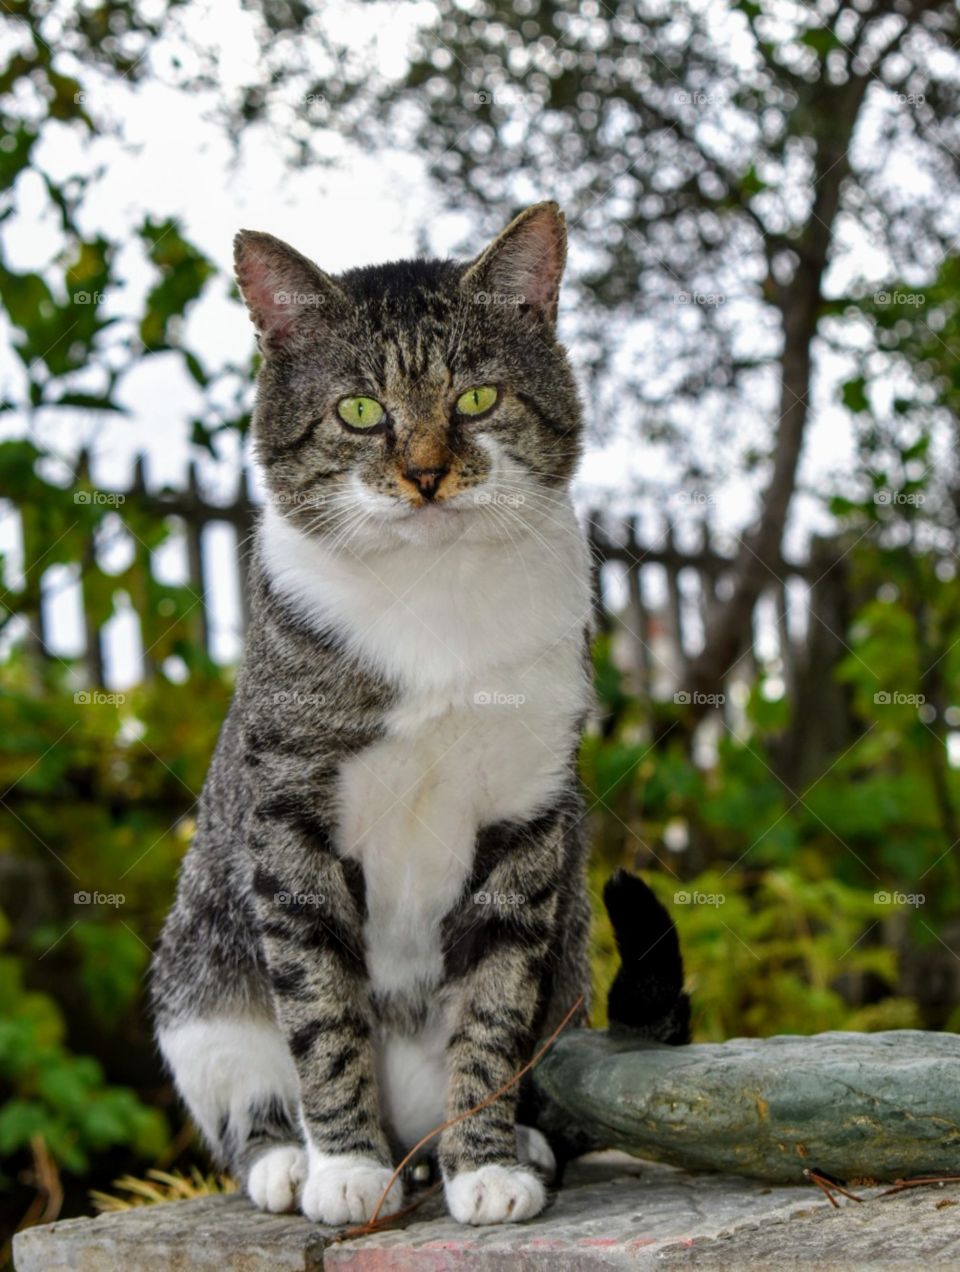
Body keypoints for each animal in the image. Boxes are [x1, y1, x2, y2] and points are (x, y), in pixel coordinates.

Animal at [151, 203, 691, 1226]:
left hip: (568, 963)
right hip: (197, 991)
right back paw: (292, 1159)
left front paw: (483, 1162)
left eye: (477, 398)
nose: (427, 473)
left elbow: (491, 1006)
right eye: (361, 410)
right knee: (244, 1092)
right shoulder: (288, 816)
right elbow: (322, 1006)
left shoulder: (525, 820)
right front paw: (346, 1166)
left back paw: (505, 1141)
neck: (434, 593)